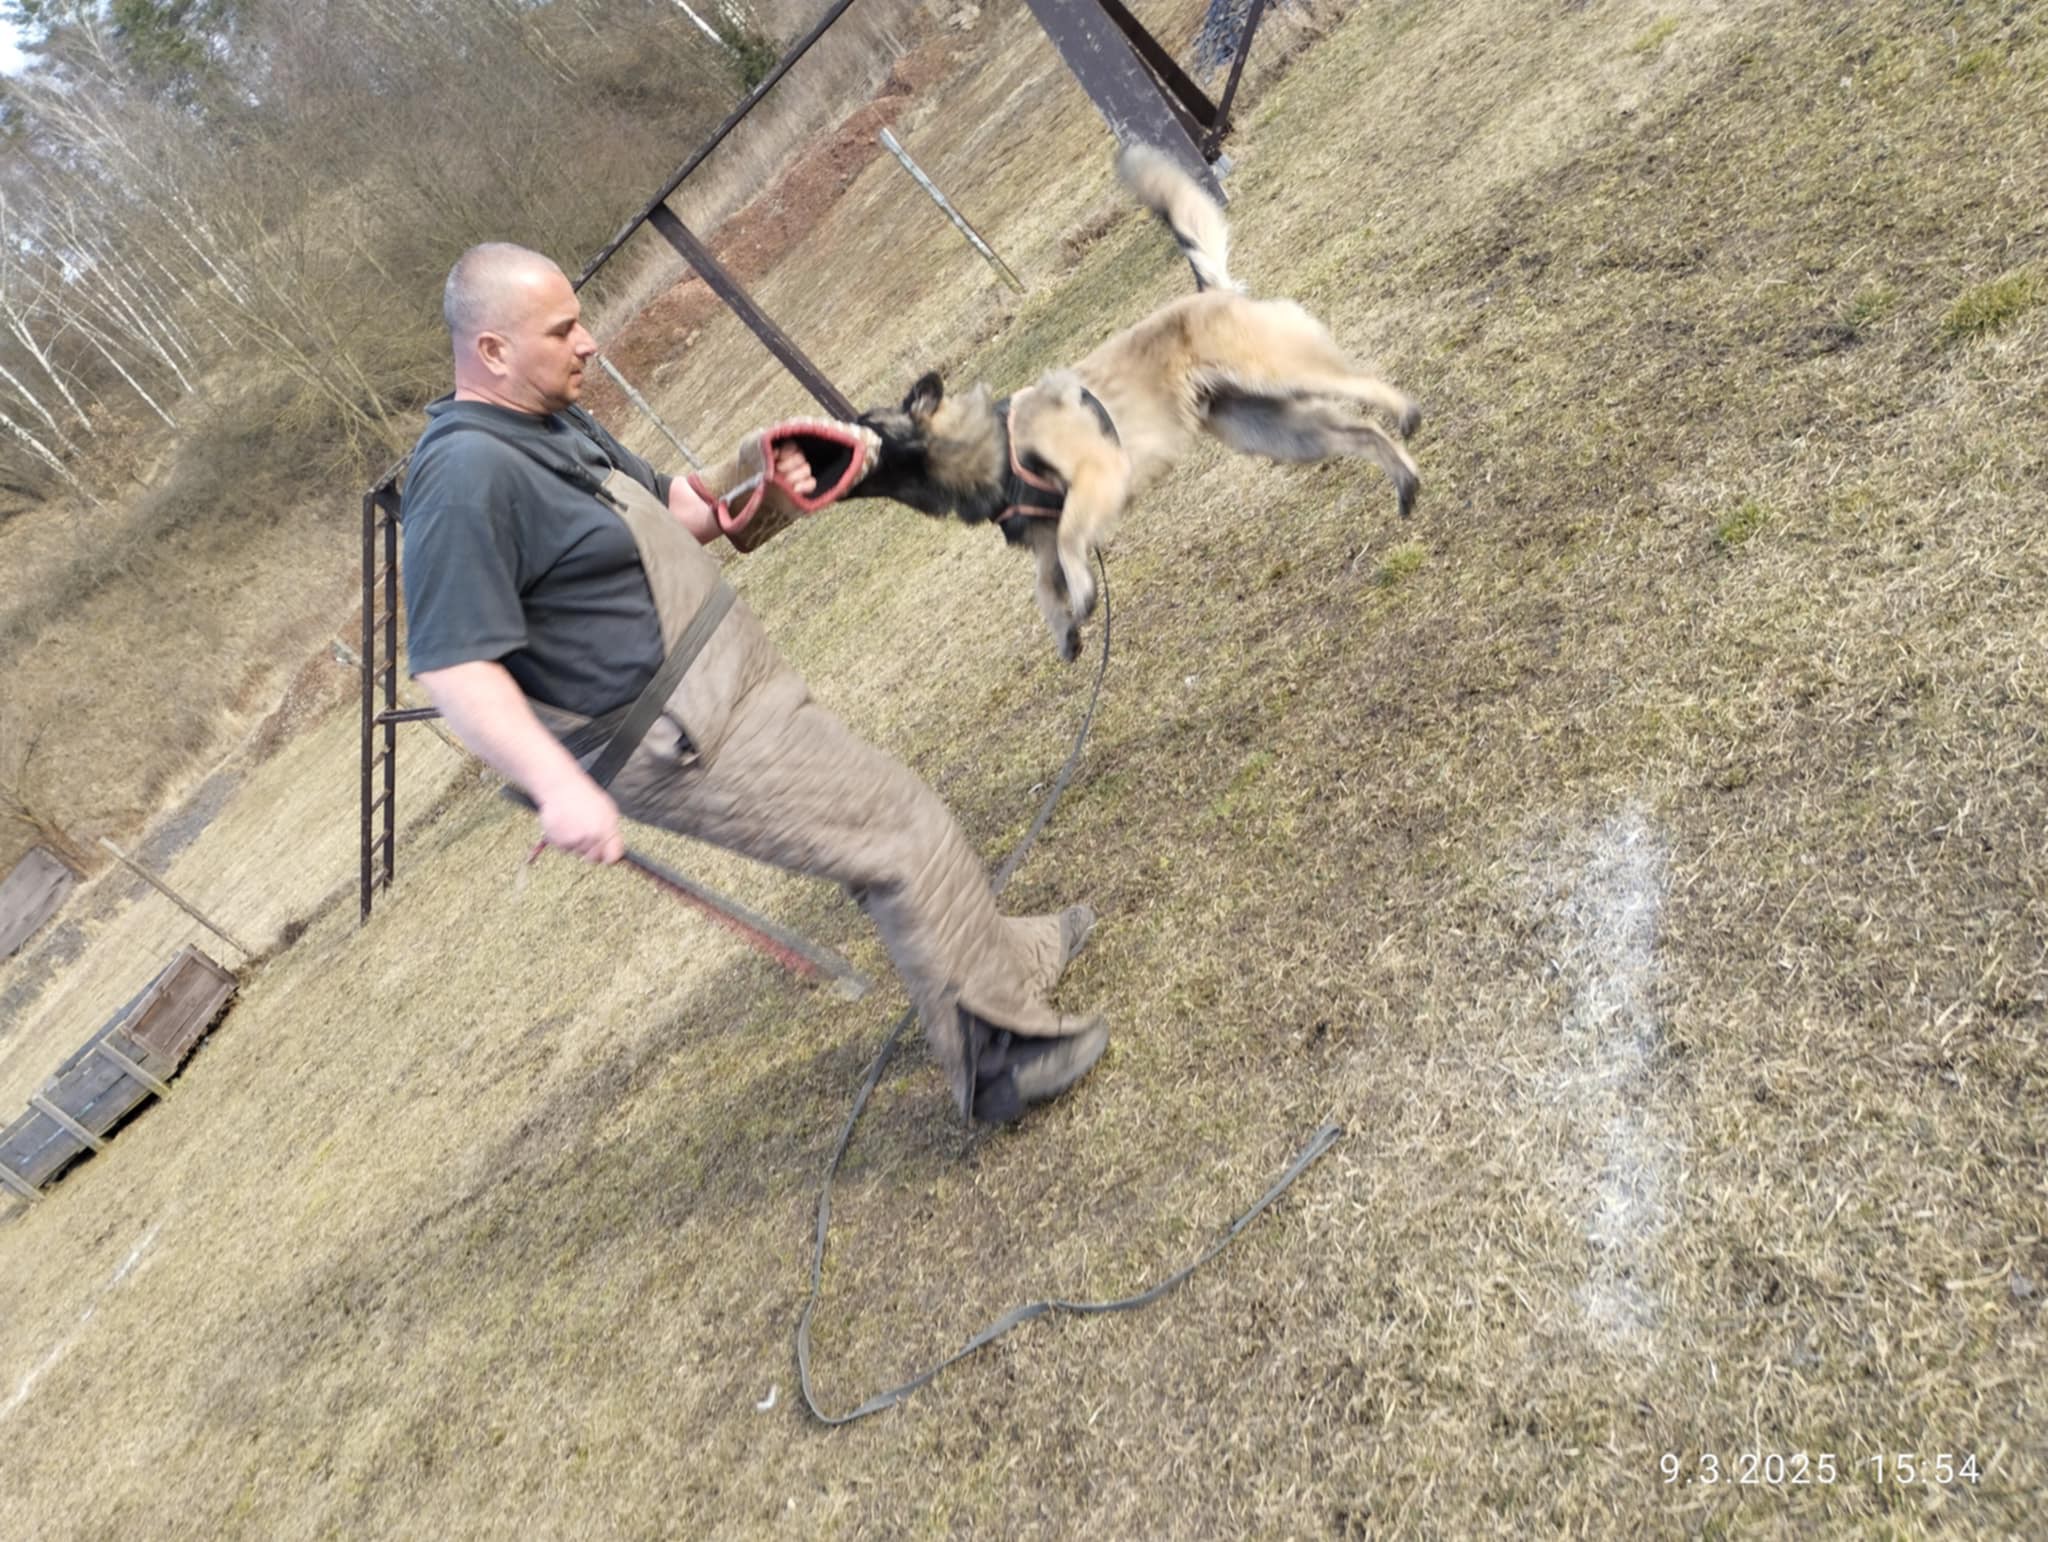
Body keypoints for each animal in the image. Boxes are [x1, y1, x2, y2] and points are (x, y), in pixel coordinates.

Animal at [846, 143, 1422, 660]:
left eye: (867, 425)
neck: (995, 441)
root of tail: (1210, 290)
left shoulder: (1097, 475)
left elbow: (1072, 541)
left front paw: (1081, 595)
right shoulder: (1042, 539)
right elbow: (1044, 583)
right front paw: (1066, 627)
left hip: (1278, 369)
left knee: (1361, 383)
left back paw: (1404, 411)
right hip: (1269, 429)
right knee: (1358, 431)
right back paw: (1404, 481)